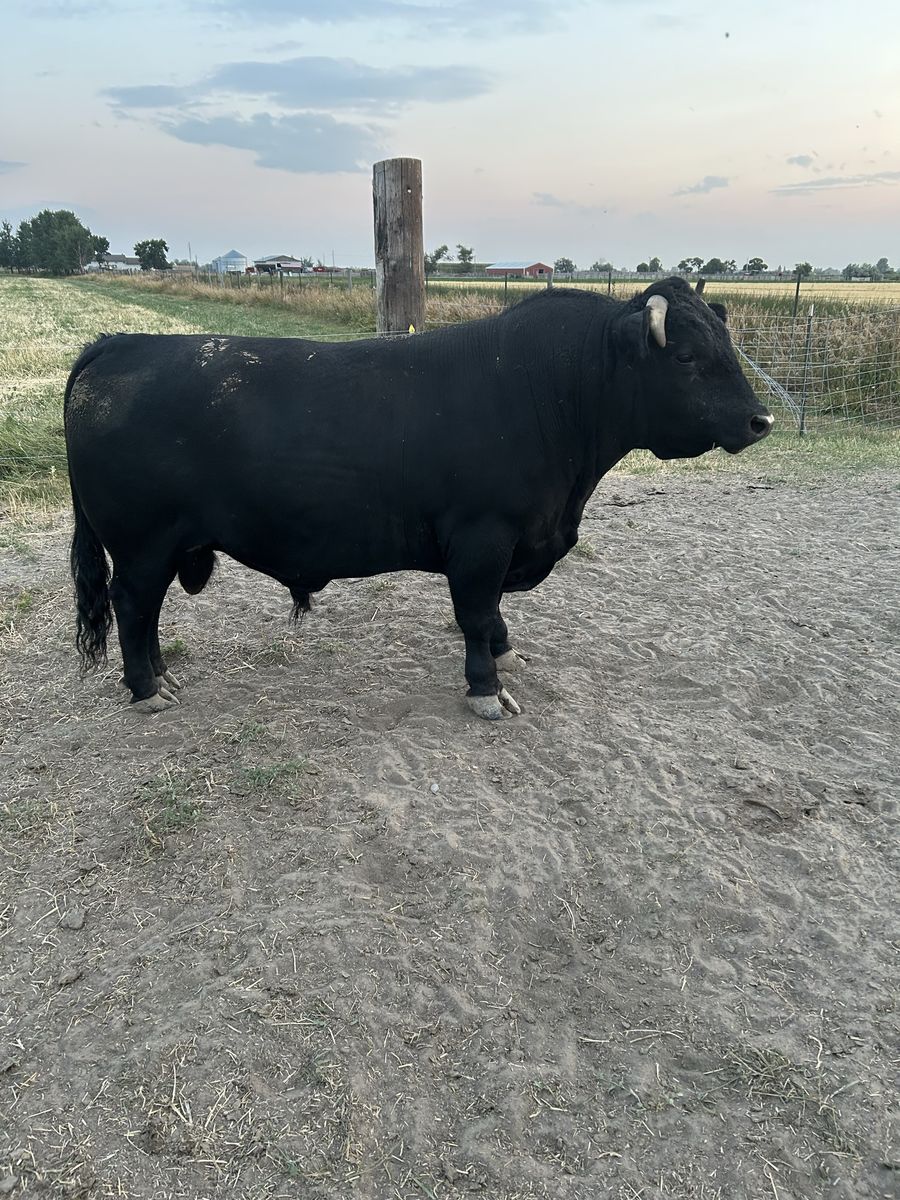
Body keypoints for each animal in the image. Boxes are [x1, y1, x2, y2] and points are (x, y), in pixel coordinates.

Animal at [65, 276, 773, 720]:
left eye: (726, 344)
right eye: (684, 356)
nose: (761, 420)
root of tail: (120, 343)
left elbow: (492, 615)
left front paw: (505, 654)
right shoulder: (484, 537)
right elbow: (476, 613)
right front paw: (487, 689)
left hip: (159, 545)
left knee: (147, 614)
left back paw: (162, 674)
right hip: (141, 543)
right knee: (133, 606)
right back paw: (146, 688)